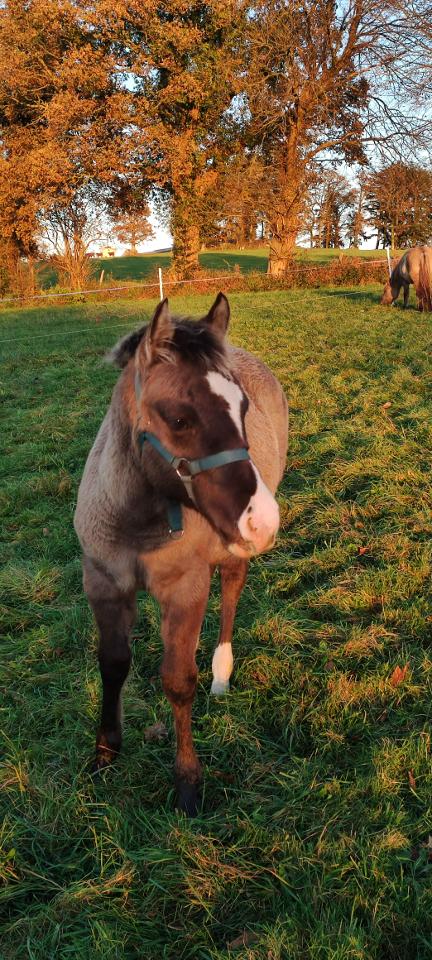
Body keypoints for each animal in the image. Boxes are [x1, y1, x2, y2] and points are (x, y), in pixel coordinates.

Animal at [74, 294, 288, 816]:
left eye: (243, 408)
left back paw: (222, 674)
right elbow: (113, 663)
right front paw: (105, 750)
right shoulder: (102, 583)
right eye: (178, 419)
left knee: (230, 591)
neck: (137, 520)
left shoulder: (185, 591)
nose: (263, 520)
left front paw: (188, 781)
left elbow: (178, 680)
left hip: (231, 552)